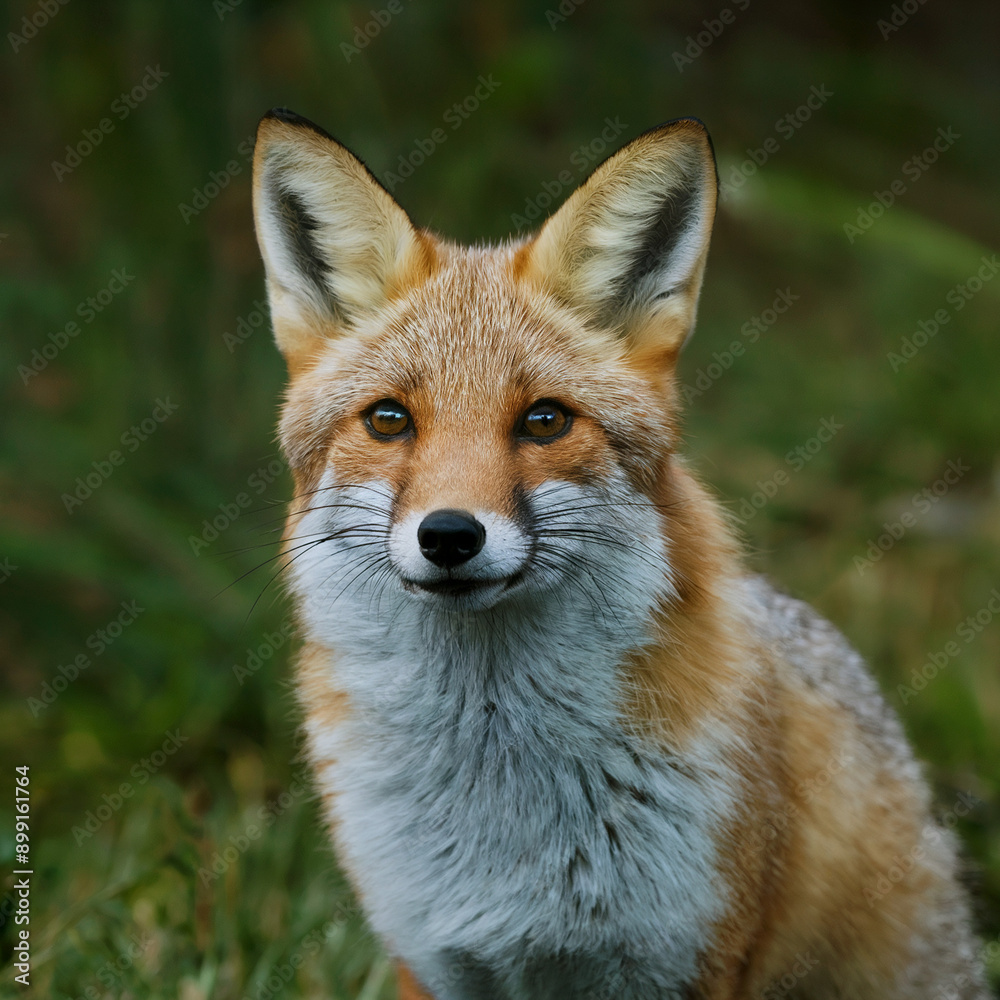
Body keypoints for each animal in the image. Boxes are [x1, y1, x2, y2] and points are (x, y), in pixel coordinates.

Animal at [250, 108, 989, 999]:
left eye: (544, 421)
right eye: (389, 420)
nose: (450, 534)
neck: (504, 810)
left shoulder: (684, 962)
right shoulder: (432, 961)